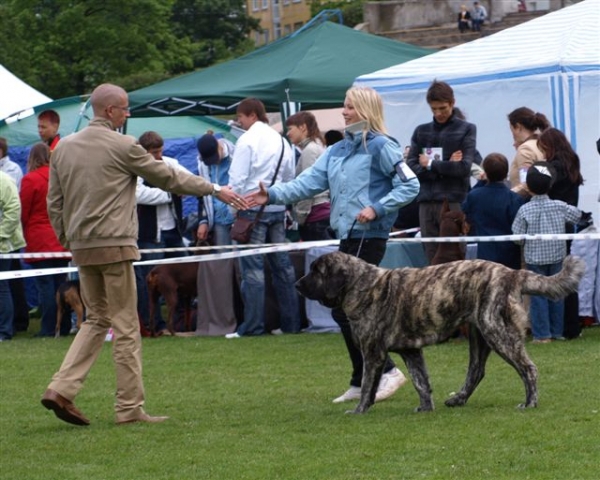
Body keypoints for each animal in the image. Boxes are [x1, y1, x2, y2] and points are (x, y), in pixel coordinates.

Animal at [298, 253, 584, 414]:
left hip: (497, 332)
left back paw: (530, 403)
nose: (298, 284)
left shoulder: (372, 353)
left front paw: (359, 410)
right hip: (480, 337)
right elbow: (421, 382)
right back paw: (458, 399)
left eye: (316, 271)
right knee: (476, 371)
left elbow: (368, 384)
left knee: (528, 369)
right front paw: (426, 408)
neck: (362, 286)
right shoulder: (411, 351)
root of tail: (512, 273)